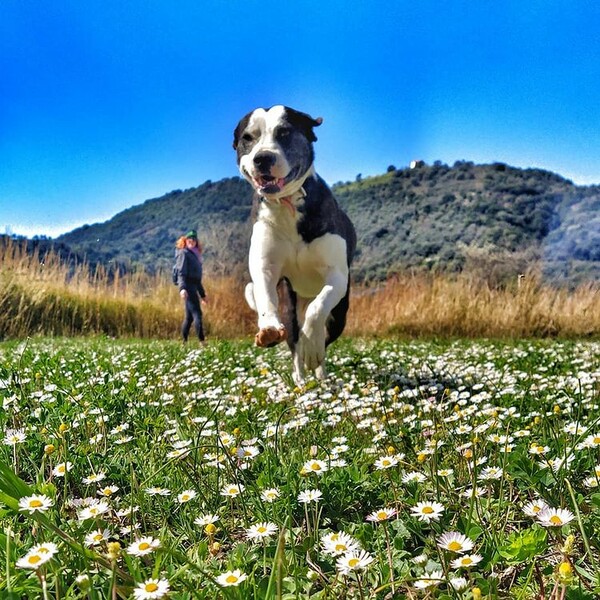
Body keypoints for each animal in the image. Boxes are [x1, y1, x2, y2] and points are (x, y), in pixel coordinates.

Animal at [233, 105, 356, 382]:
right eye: (248, 137)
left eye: (284, 133)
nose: (262, 158)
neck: (287, 202)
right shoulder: (265, 266)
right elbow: (265, 295)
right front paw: (268, 327)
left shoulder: (337, 275)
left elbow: (317, 308)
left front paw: (313, 345)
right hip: (291, 304)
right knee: (293, 338)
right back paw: (300, 377)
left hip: (340, 314)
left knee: (323, 331)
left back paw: (318, 365)